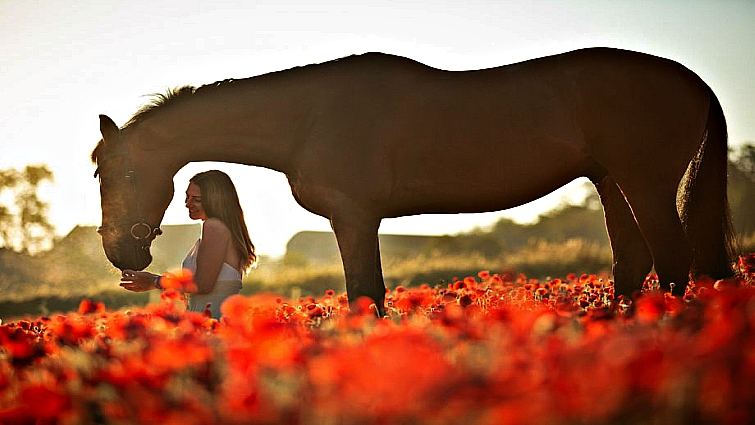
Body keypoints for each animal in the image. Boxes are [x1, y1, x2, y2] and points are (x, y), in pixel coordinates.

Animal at [92, 47, 737, 314]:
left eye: (106, 171)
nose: (121, 251)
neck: (306, 117)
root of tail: (694, 81)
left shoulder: (354, 218)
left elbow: (365, 293)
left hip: (644, 185)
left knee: (672, 261)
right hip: (611, 183)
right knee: (633, 264)